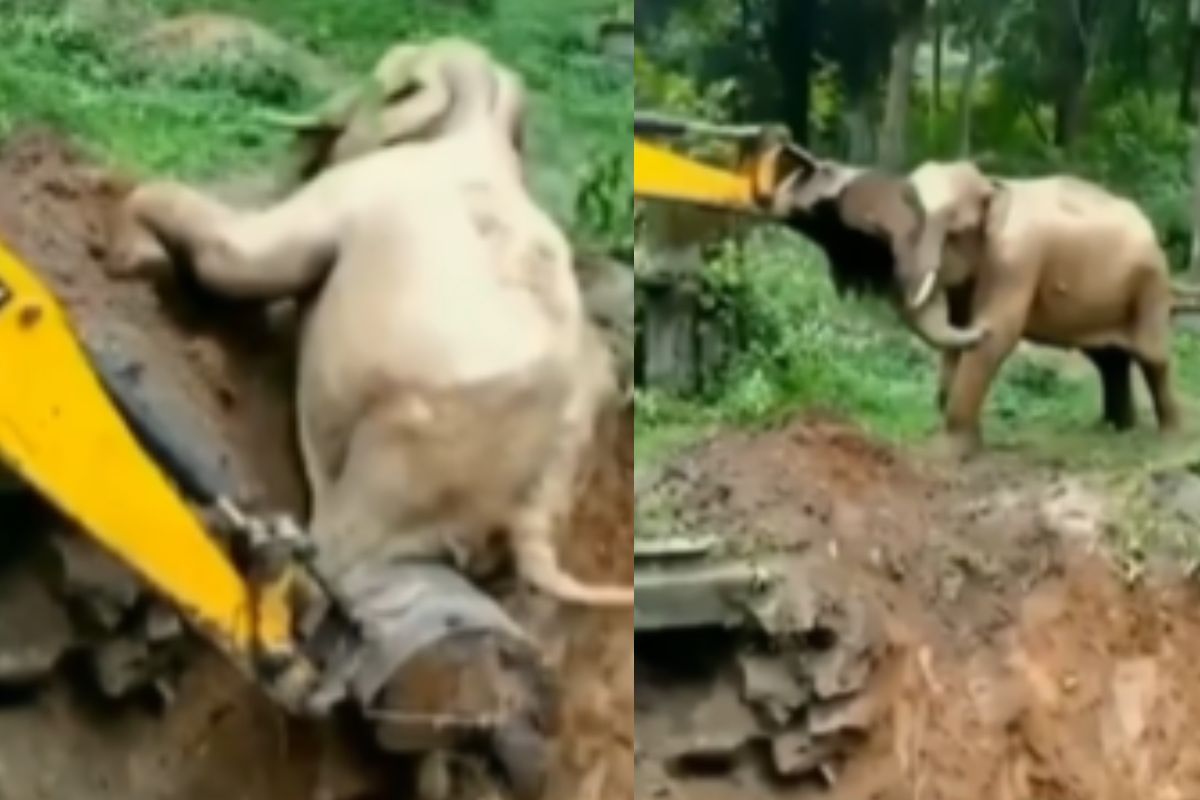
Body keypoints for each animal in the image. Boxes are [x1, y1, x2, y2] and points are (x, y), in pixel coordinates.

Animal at [105, 37, 634, 609]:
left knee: (337, 559)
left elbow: (238, 260)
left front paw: (131, 259)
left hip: (406, 458)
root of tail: (529, 509)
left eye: (380, 80)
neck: (482, 122)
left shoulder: (356, 191)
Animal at [905, 159, 1200, 456]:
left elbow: (998, 334)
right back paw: (1114, 429)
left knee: (1152, 357)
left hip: (1149, 287)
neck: (992, 184)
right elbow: (958, 327)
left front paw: (945, 453)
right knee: (1109, 359)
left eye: (953, 233)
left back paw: (1169, 439)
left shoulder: (1016, 259)